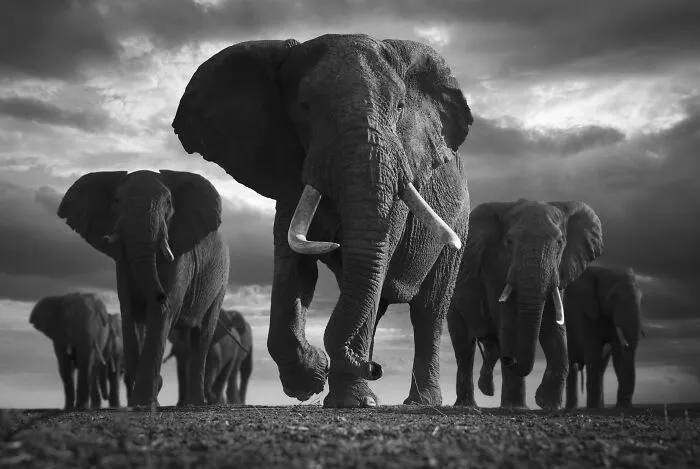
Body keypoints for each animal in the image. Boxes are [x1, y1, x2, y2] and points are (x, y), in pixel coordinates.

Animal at [57, 170, 230, 407]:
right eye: (117, 201)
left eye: (168, 203)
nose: (160, 295)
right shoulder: (122, 262)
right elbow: (129, 312)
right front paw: (141, 401)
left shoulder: (181, 256)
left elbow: (163, 313)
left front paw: (145, 401)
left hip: (221, 281)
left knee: (202, 335)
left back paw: (196, 403)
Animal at [172, 34, 473, 407]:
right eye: (304, 108)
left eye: (400, 107)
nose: (377, 368)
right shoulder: (290, 173)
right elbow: (294, 269)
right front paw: (312, 378)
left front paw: (351, 398)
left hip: (459, 222)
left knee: (429, 309)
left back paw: (419, 401)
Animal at [447, 199, 603, 409]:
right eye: (509, 242)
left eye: (560, 242)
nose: (510, 359)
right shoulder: (495, 267)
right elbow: (509, 322)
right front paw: (515, 407)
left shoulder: (559, 270)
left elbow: (553, 326)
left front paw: (548, 404)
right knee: (464, 346)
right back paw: (468, 404)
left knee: (489, 345)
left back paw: (486, 388)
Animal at [563, 265, 643, 409]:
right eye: (612, 297)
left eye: (642, 300)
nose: (626, 403)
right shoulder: (587, 313)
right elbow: (593, 352)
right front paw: (594, 408)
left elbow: (618, 355)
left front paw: (622, 406)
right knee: (572, 365)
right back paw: (574, 408)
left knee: (601, 366)